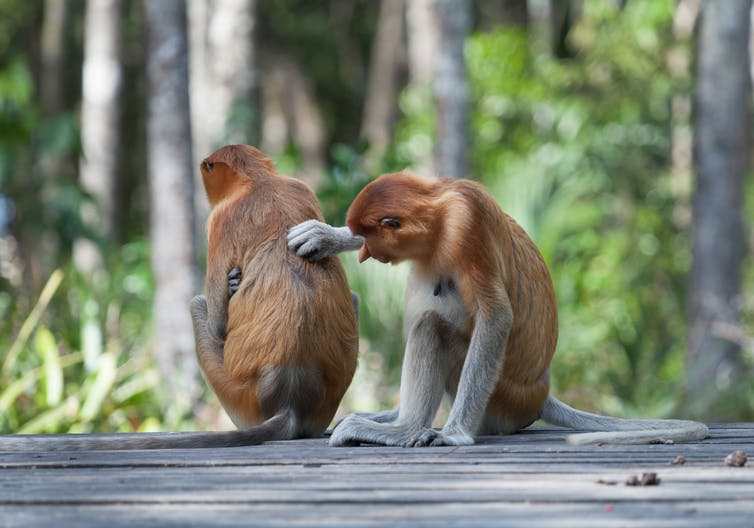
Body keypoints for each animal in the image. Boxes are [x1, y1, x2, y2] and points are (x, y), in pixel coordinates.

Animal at [0, 144, 358, 450]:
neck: (258, 181)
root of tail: (290, 399)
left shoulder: (218, 220)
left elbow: (216, 324)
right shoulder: (300, 188)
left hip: (239, 396)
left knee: (196, 304)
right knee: (352, 298)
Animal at [286, 172, 704, 446]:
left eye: (372, 240)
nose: (364, 254)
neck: (439, 214)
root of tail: (539, 394)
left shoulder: (467, 227)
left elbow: (496, 316)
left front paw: (454, 435)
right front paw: (324, 236)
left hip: (498, 398)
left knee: (431, 326)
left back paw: (400, 429)